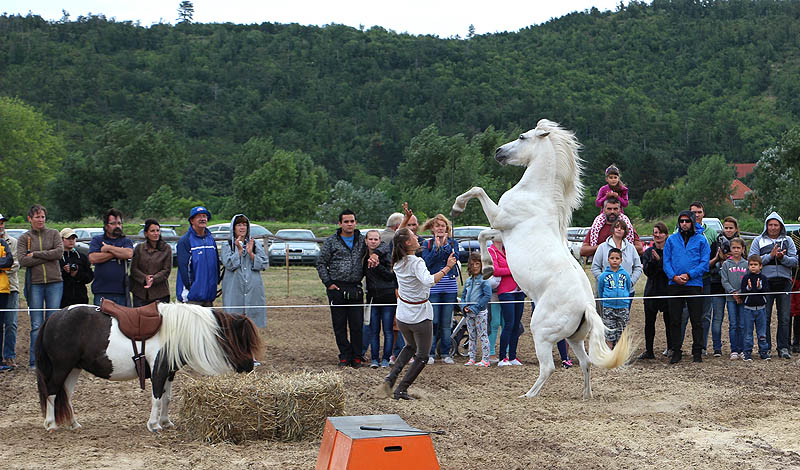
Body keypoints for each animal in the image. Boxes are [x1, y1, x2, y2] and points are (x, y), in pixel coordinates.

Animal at [36, 302, 260, 432]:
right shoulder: (158, 371)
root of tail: (53, 317)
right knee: (52, 391)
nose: (251, 365)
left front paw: (166, 422)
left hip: (74, 369)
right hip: (61, 367)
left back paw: (73, 424)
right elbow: (157, 398)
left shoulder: (169, 372)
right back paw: (51, 424)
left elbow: (167, 399)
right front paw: (153, 425)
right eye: (242, 340)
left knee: (66, 395)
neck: (176, 329)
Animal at [454, 119, 636, 398]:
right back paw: (586, 395)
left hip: (541, 332)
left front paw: (457, 207)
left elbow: (478, 191)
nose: (498, 152)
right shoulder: (502, 230)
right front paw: (486, 267)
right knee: (586, 362)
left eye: (522, 137)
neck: (535, 194)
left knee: (548, 367)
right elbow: (484, 234)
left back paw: (528, 395)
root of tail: (586, 306)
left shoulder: (500, 218)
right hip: (574, 338)